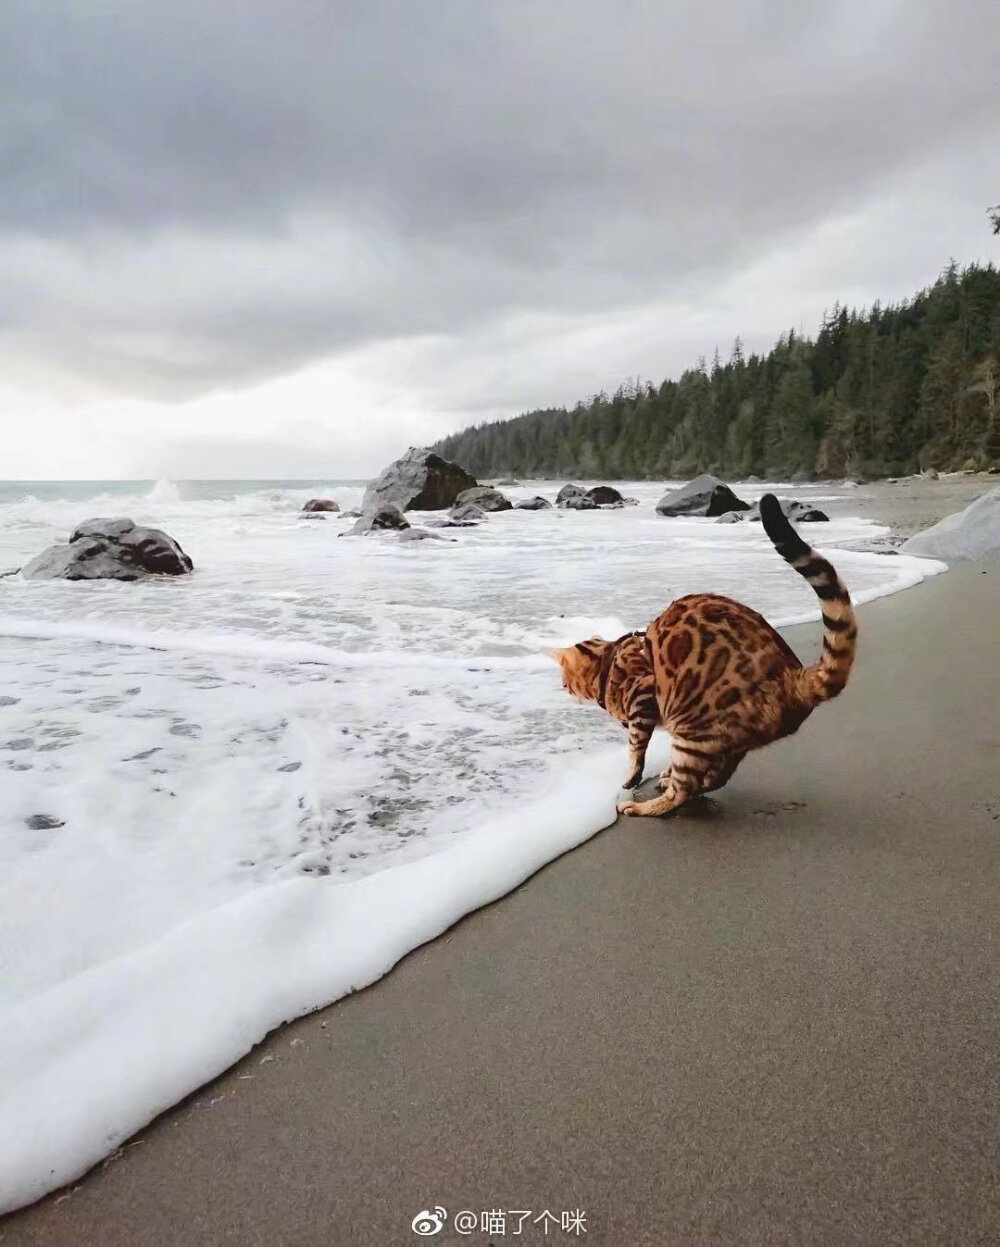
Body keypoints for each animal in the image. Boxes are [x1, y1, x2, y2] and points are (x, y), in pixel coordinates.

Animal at [546, 496, 857, 818]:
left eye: (564, 680)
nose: (563, 689)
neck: (607, 662)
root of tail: (793, 676)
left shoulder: (642, 698)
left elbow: (636, 750)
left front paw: (632, 777)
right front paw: (665, 774)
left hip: (693, 730)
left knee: (682, 791)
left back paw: (643, 807)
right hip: (722, 738)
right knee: (716, 776)